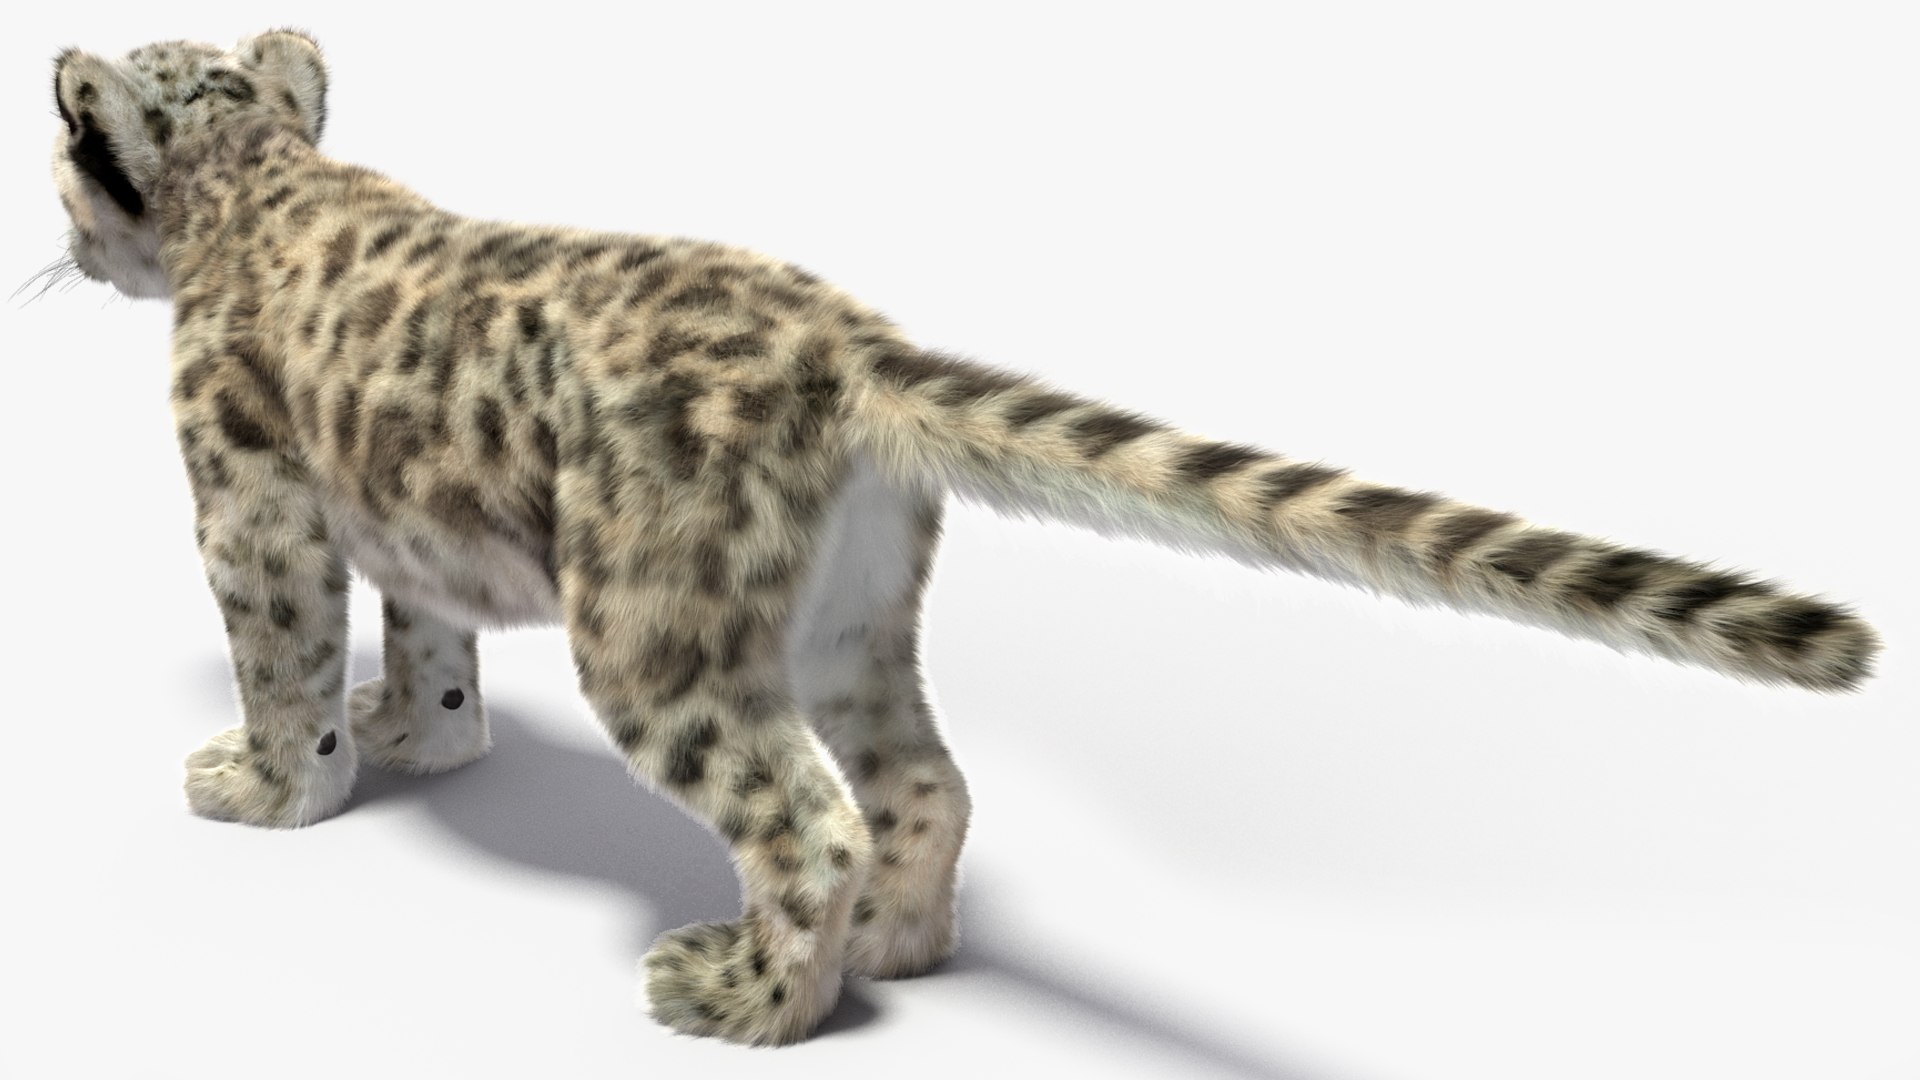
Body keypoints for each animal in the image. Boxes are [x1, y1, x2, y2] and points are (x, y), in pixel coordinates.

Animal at [45, 29, 1881, 1046]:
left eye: (65, 162)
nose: (58, 237)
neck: (259, 180)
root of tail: (846, 345)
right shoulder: (395, 527)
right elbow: (427, 645)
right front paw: (423, 739)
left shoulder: (251, 509)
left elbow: (283, 660)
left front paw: (265, 785)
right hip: (847, 622)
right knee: (920, 783)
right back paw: (901, 948)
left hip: (658, 635)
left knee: (805, 821)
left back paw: (743, 999)